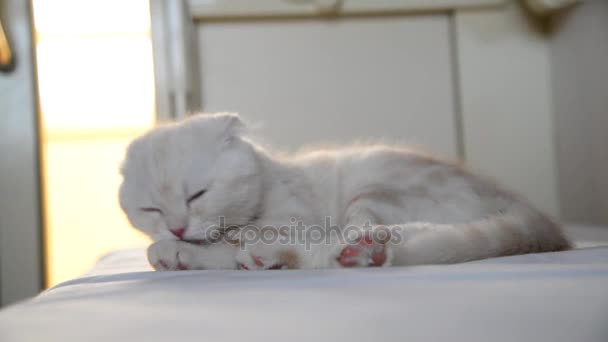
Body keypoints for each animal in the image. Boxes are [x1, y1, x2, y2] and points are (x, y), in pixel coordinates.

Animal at [117, 113, 568, 272]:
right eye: (152, 209)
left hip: (377, 194)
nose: (177, 228)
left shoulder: (295, 217)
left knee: (398, 239)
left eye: (197, 194)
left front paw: (180, 252)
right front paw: (173, 252)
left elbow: (230, 245)